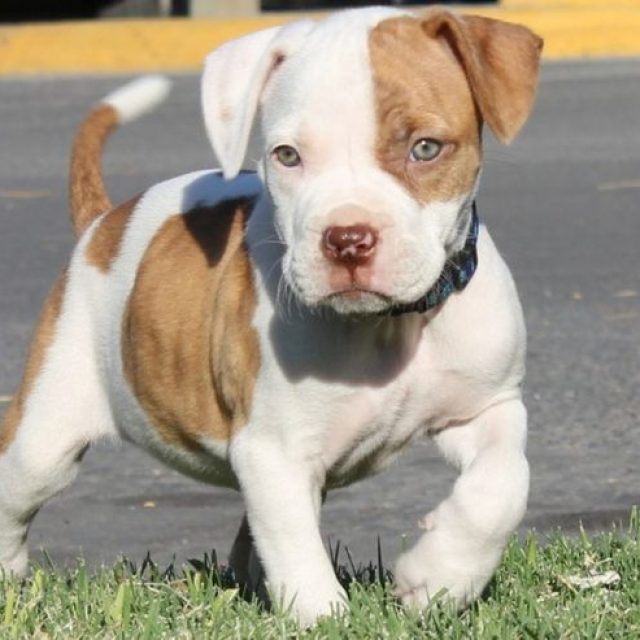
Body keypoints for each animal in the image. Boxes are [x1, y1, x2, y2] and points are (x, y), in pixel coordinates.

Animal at [0, 6, 542, 625]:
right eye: (287, 156)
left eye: (425, 149)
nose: (347, 239)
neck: (391, 324)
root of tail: (102, 224)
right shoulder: (273, 451)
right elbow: (293, 544)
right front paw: (323, 615)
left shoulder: (489, 405)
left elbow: (503, 485)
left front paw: (440, 577)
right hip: (46, 434)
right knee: (17, 494)